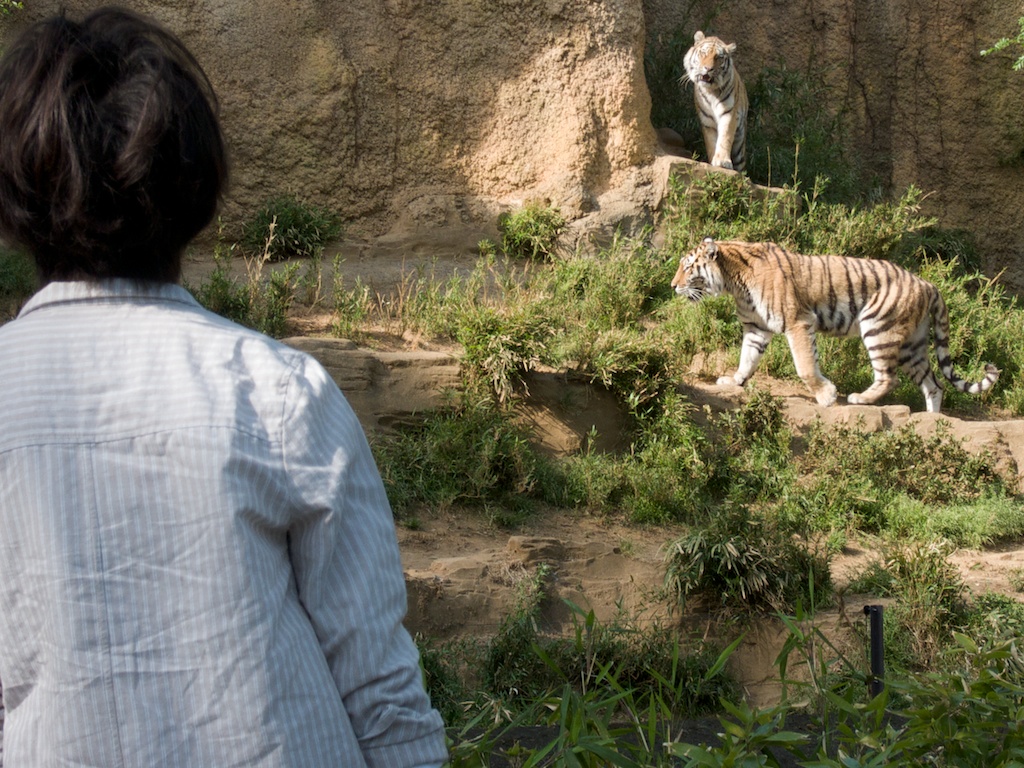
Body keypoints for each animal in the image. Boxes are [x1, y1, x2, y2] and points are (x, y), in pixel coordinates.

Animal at [671, 237, 999, 415]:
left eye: (687, 267)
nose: (673, 286)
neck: (734, 281)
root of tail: (929, 285)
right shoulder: (756, 328)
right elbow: (747, 359)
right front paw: (734, 381)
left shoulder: (798, 322)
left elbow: (805, 366)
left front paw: (826, 396)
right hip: (912, 346)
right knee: (935, 385)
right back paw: (931, 419)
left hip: (879, 328)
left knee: (889, 378)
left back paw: (859, 399)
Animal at [684, 31, 749, 173]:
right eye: (703, 53)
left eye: (718, 57)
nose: (708, 68)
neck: (711, 91)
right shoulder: (707, 120)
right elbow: (711, 141)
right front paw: (714, 161)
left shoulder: (729, 114)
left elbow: (725, 138)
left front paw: (723, 161)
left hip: (739, 145)